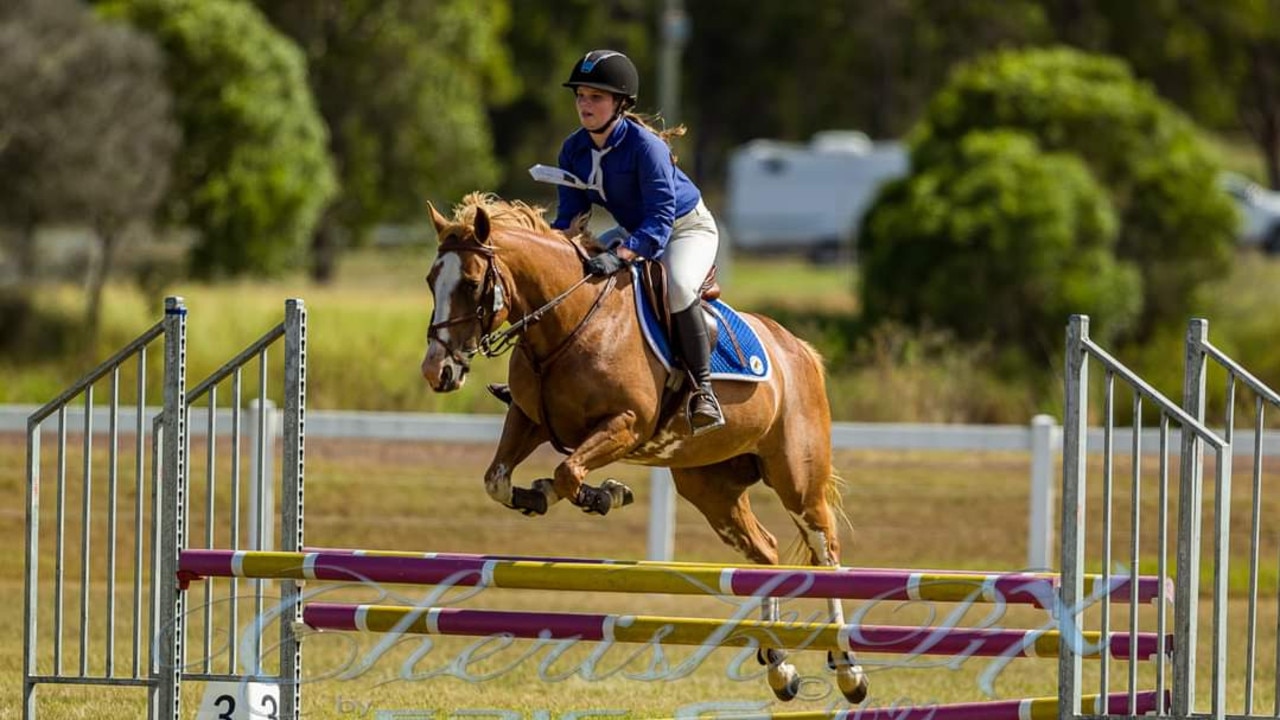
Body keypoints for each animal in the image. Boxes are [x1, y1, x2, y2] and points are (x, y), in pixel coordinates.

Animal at [419, 190, 870, 702]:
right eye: (432, 280)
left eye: (473, 283)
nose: (437, 371)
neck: (567, 322)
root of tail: (798, 350)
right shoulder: (530, 420)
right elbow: (497, 479)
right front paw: (540, 495)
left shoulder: (626, 426)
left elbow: (568, 473)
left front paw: (604, 495)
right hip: (711, 489)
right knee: (767, 551)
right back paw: (780, 665)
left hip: (798, 481)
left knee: (826, 554)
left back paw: (848, 669)